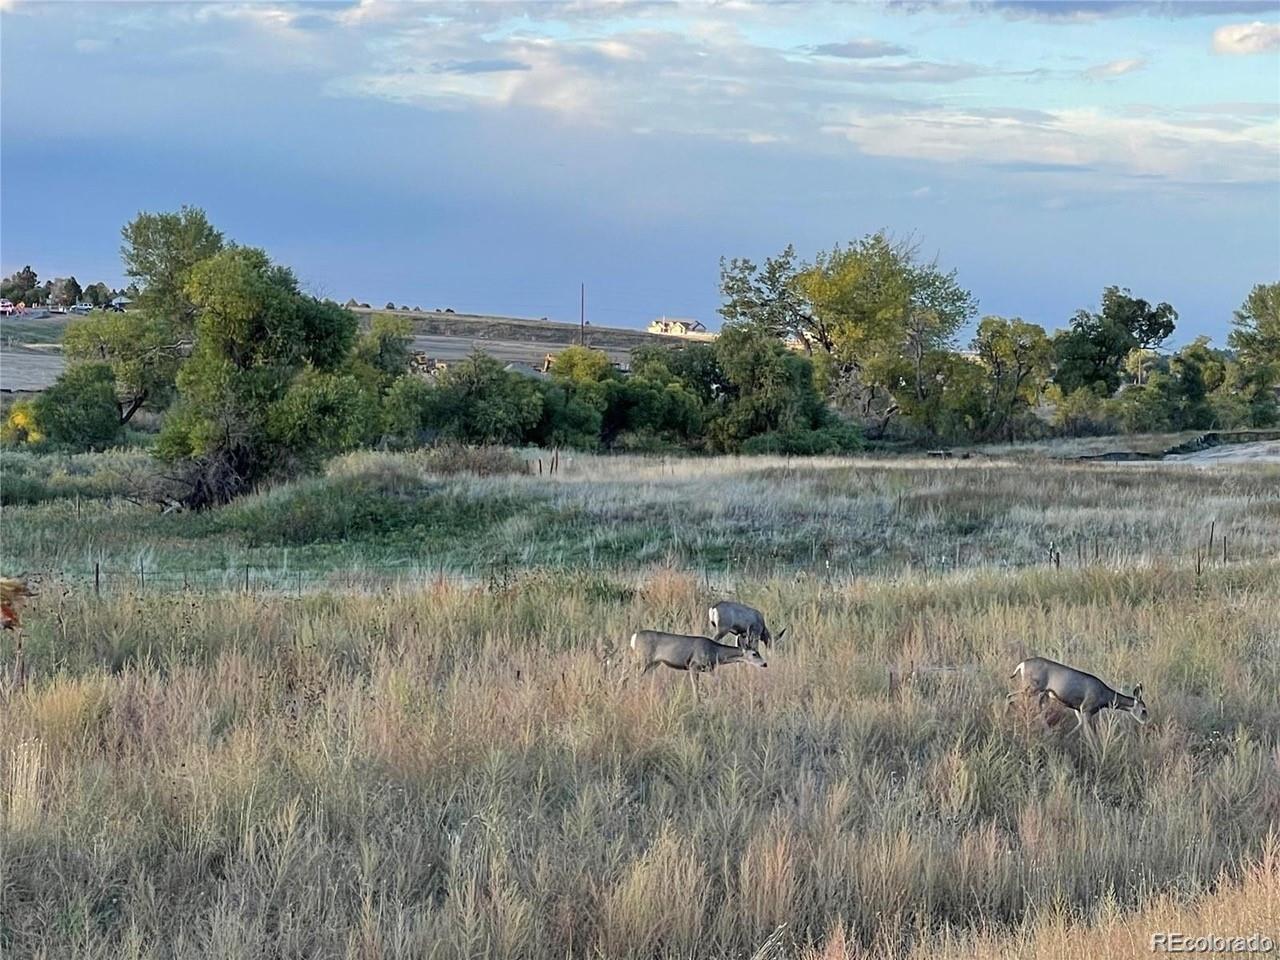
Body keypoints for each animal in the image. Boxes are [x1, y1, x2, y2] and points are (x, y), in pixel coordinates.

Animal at [627, 632, 757, 701]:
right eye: (754, 654)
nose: (762, 664)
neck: (715, 652)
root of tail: (633, 637)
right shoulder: (693, 665)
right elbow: (696, 686)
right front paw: (697, 702)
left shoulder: (708, 669)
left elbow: (717, 680)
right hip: (643, 659)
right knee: (632, 676)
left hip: (653, 663)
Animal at [1008, 660, 1152, 742]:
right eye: (1144, 710)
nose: (1146, 722)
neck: (1104, 697)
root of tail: (1021, 665)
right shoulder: (1086, 708)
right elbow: (1091, 734)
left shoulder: (1079, 709)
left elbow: (1079, 726)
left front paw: (1064, 738)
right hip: (1033, 688)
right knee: (1010, 697)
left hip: (1042, 693)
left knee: (1037, 710)